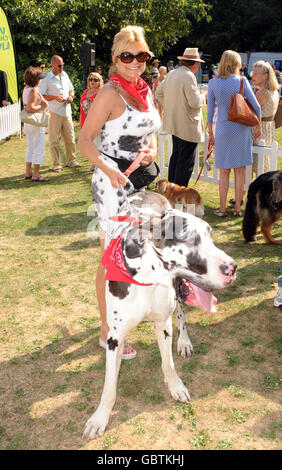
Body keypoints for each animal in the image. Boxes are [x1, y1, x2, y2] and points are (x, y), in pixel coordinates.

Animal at [83, 189, 236, 438]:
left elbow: (168, 363)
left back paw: (184, 341)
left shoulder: (164, 324)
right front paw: (100, 418)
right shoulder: (115, 338)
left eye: (210, 235)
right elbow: (109, 386)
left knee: (181, 316)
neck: (146, 276)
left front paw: (176, 386)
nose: (232, 268)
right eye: (190, 239)